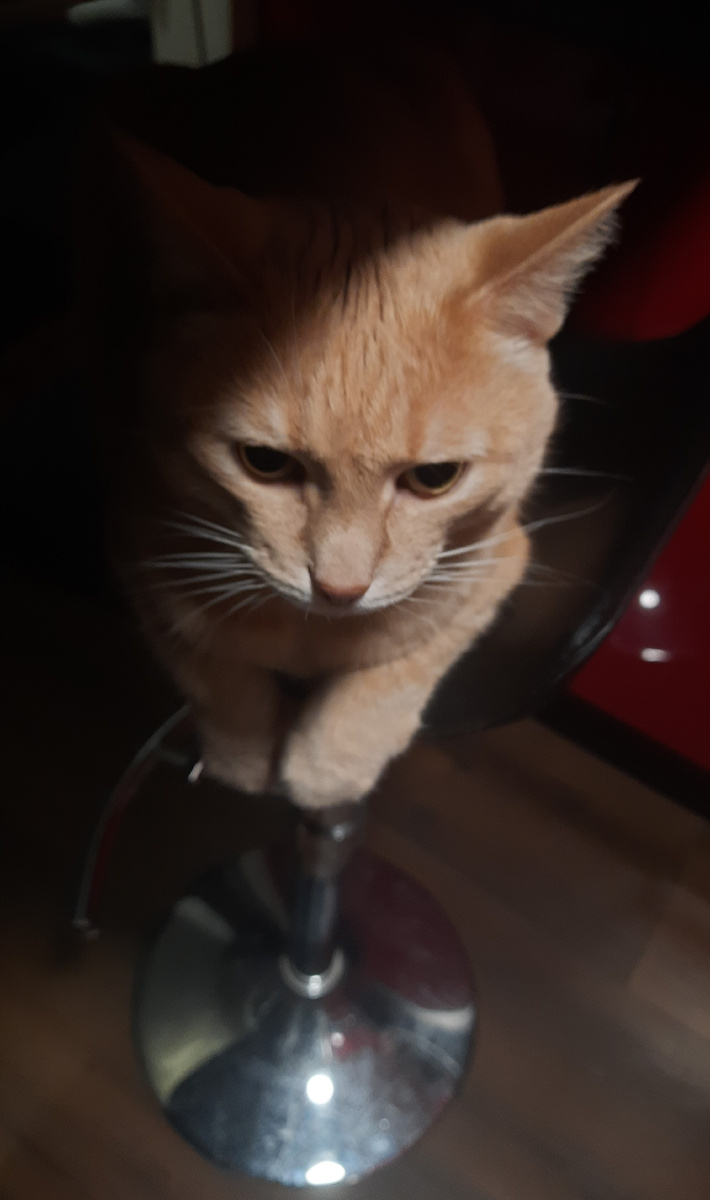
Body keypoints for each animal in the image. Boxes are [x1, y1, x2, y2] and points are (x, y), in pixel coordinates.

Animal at [79, 44, 634, 809]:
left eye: (435, 477)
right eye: (264, 462)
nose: (338, 590)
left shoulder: (494, 560)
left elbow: (402, 659)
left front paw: (330, 759)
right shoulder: (138, 534)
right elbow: (212, 666)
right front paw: (242, 752)